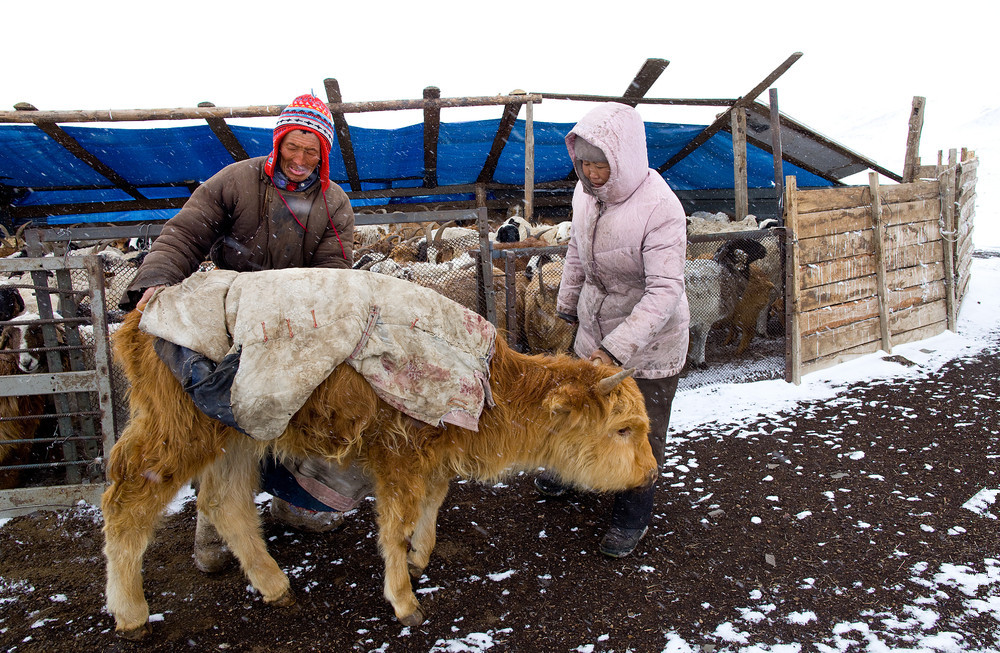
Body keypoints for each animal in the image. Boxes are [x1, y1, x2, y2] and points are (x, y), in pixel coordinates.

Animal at [684, 239, 768, 370]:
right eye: (746, 244)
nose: (764, 250)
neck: (726, 272)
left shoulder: (696, 319)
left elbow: (696, 338)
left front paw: (693, 359)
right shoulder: (706, 319)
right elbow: (702, 338)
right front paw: (701, 362)